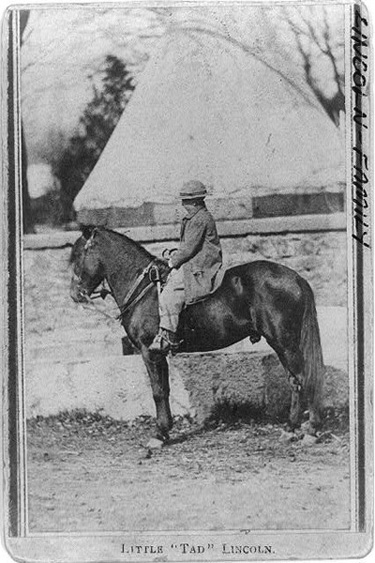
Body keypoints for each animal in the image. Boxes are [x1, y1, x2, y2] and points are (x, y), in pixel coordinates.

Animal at [70, 226, 326, 446]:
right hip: (284, 345)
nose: (75, 294)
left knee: (304, 379)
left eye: (78, 256)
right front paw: (165, 431)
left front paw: (159, 434)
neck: (147, 290)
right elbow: (164, 390)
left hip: (285, 343)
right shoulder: (159, 355)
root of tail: (296, 278)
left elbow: (157, 392)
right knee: (296, 381)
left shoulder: (149, 352)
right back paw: (293, 428)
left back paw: (310, 430)